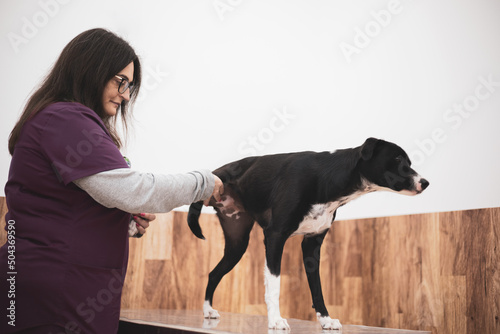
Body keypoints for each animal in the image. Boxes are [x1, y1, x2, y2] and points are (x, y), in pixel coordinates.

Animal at [188, 137, 430, 330]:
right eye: (398, 159)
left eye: (408, 162)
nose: (425, 182)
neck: (327, 179)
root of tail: (219, 171)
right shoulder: (275, 237)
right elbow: (274, 285)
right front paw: (275, 320)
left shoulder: (312, 244)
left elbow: (317, 288)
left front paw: (325, 319)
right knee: (216, 274)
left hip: (236, 244)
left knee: (213, 274)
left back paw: (208, 310)